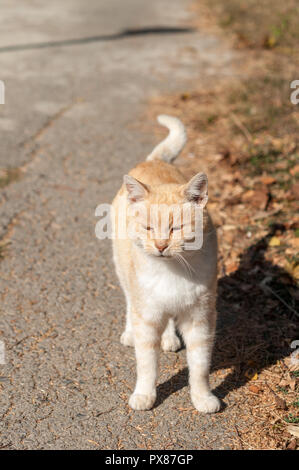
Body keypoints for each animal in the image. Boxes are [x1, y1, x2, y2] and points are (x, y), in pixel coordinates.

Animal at [112, 115, 220, 414]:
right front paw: (144, 395)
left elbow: (200, 368)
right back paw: (129, 333)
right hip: (124, 275)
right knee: (129, 303)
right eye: (149, 228)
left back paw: (170, 338)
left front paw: (202, 398)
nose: (161, 245)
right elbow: (147, 365)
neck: (173, 272)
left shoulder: (200, 319)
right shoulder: (147, 318)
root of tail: (154, 161)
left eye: (176, 228)